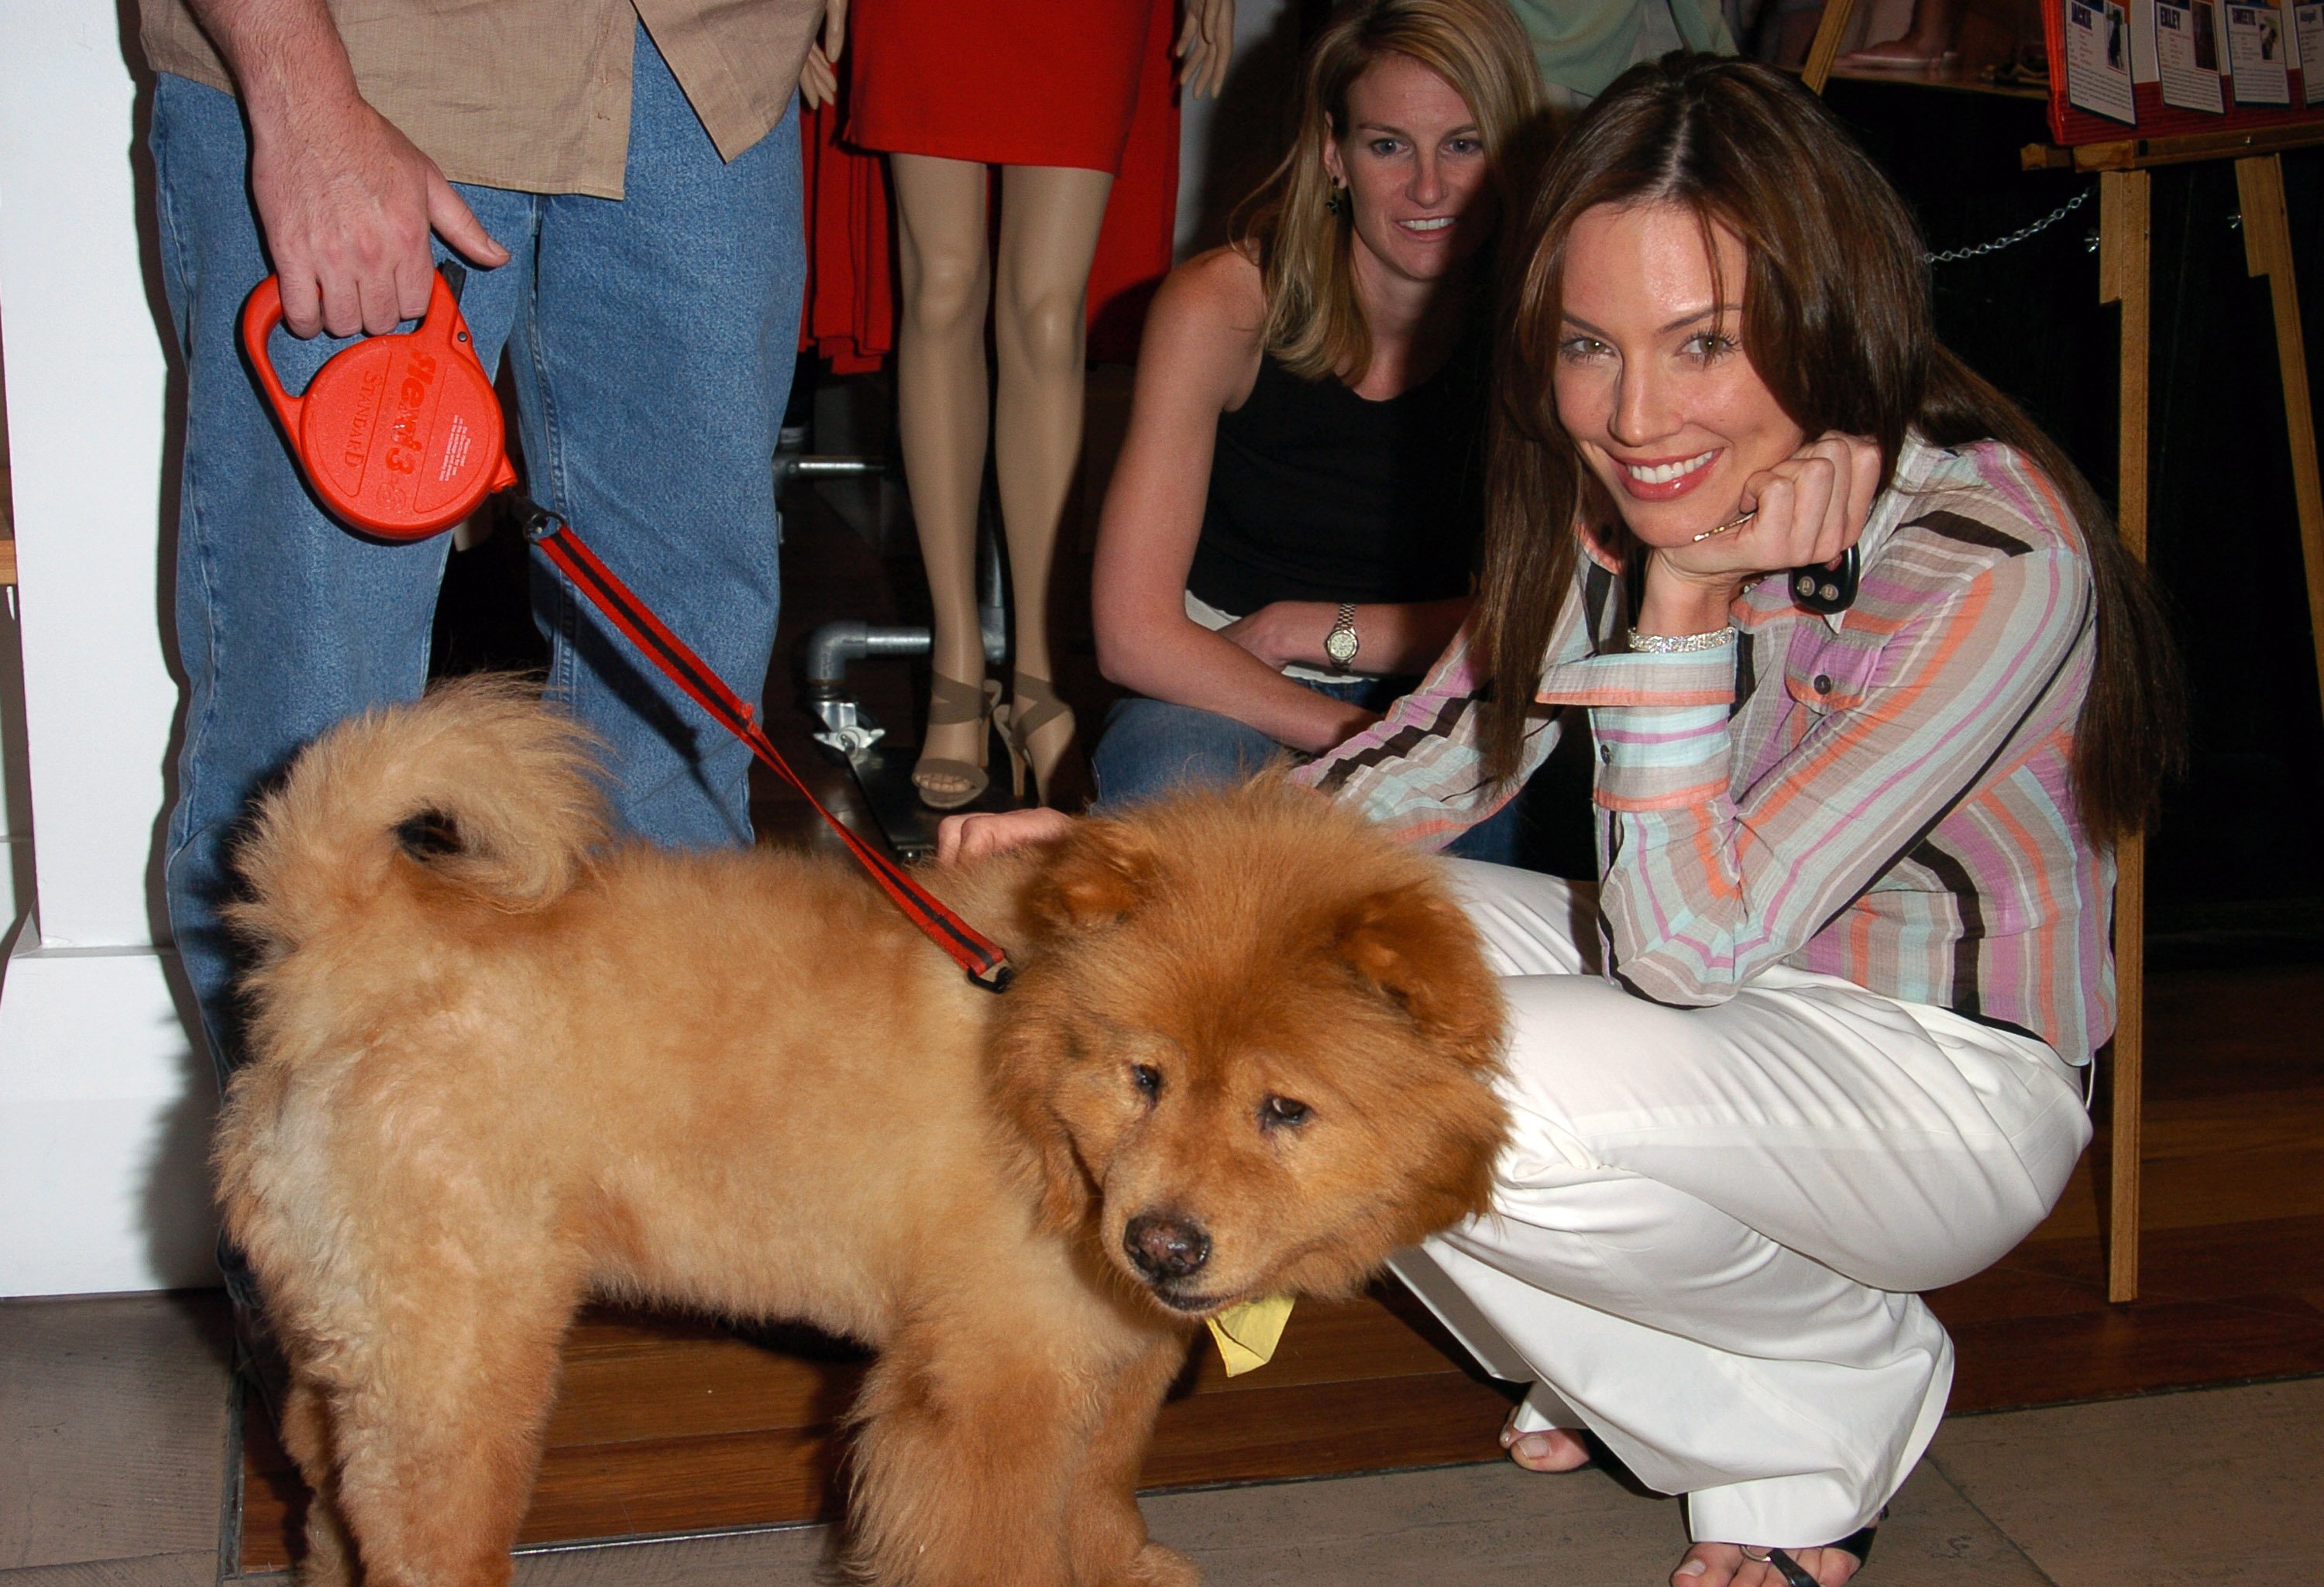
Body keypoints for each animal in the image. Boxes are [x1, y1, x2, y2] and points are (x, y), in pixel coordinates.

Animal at [218, 678, 1506, 1587]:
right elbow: (1008, 1548)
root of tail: (348, 926)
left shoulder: (1111, 1356)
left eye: (1284, 1108)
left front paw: (1129, 1566)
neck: (1033, 1084)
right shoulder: (988, 1389)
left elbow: (1102, 1493)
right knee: (422, 1539)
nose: (1164, 1243)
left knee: (329, 1502)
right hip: (462, 1360)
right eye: (1145, 1077)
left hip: (356, 1339)